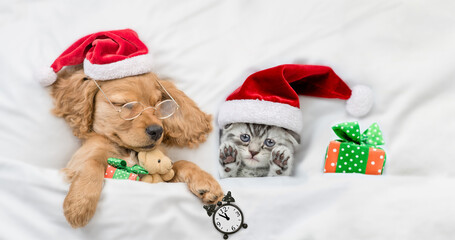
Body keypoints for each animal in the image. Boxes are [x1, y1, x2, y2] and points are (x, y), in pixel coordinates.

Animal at [50, 64, 224, 228]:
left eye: (157, 105)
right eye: (124, 104)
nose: (157, 130)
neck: (129, 152)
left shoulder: (162, 179)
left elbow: (182, 163)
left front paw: (206, 182)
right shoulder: (79, 160)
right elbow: (92, 164)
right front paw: (79, 205)